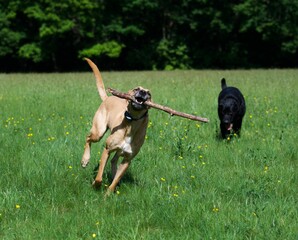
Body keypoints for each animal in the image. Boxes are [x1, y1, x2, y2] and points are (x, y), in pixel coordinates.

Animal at [81, 58, 151, 195]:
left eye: (149, 93)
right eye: (136, 88)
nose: (143, 92)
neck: (131, 125)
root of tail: (107, 98)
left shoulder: (127, 160)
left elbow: (115, 181)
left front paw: (108, 194)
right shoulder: (107, 150)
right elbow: (99, 176)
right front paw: (96, 185)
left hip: (119, 150)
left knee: (114, 161)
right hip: (98, 132)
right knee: (88, 138)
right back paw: (85, 160)